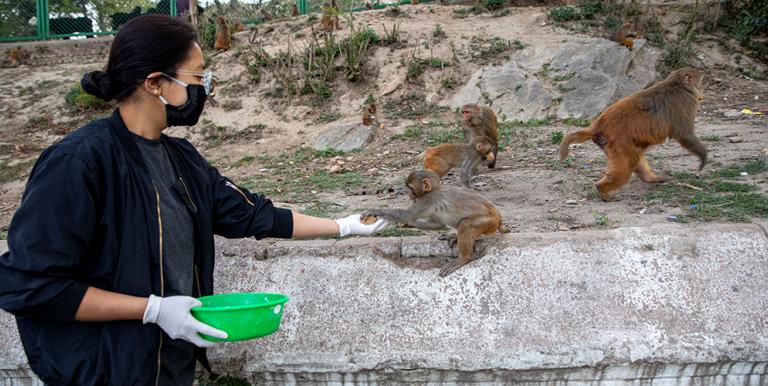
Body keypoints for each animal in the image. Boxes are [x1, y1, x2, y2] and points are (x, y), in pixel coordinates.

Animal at [362, 170, 508, 276]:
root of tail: (498, 216)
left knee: (465, 224)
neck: (434, 189)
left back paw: (464, 257)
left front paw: (374, 211)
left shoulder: (427, 200)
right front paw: (410, 224)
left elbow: (407, 216)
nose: (408, 194)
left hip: (488, 221)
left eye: (410, 188)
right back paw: (456, 237)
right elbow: (439, 224)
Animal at [560, 68, 708, 202]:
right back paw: (603, 190)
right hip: (617, 140)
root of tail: (598, 124)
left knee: (635, 155)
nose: (702, 95)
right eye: (700, 80)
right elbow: (684, 134)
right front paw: (703, 158)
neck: (678, 85)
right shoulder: (685, 103)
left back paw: (650, 178)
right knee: (629, 159)